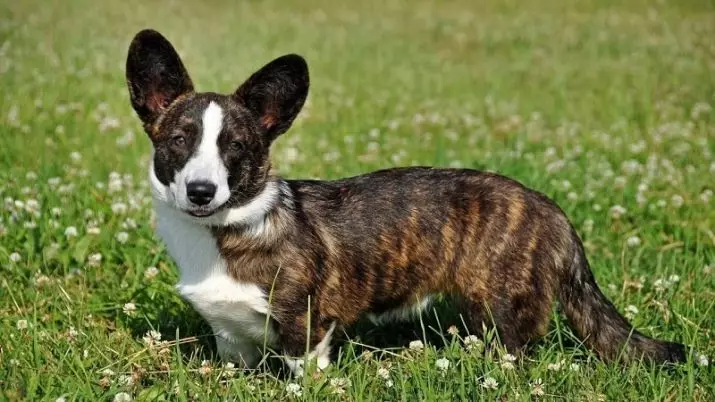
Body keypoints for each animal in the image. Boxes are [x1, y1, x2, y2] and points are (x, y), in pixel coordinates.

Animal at [126, 29, 684, 376]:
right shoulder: (231, 341)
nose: (201, 191)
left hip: (503, 315)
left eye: (236, 147)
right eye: (179, 140)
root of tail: (552, 210)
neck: (226, 230)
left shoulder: (306, 330)